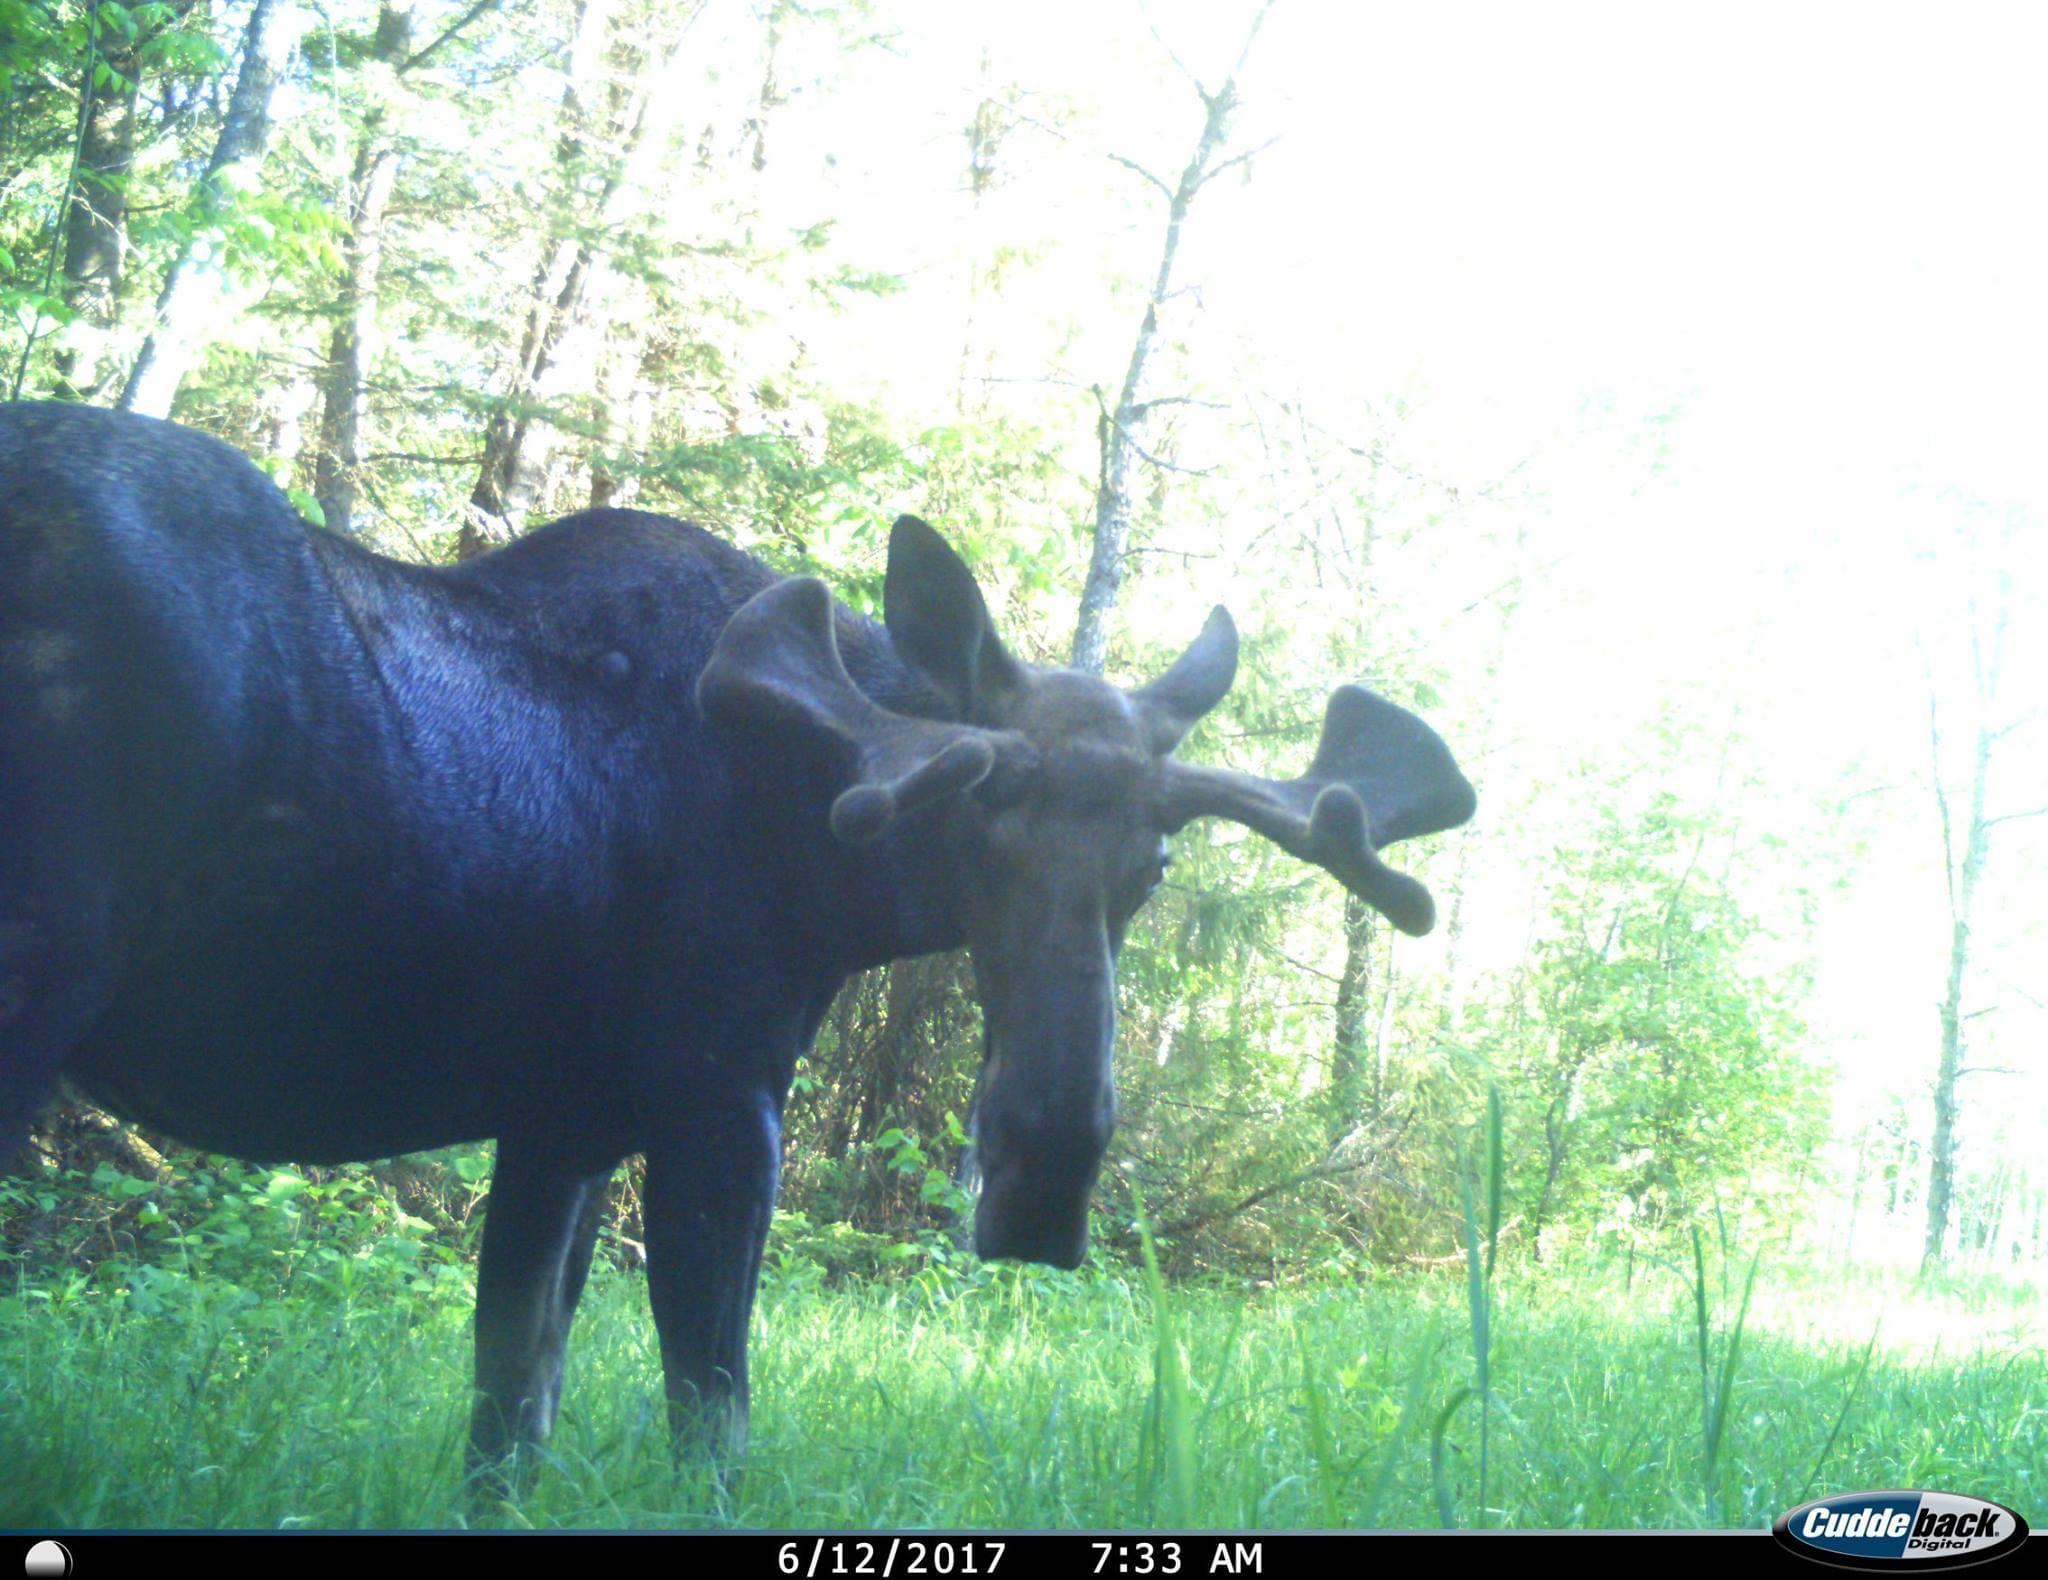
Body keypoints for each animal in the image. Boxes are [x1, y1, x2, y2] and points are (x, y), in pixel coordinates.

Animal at [0, 400, 1474, 1475]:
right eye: (979, 824)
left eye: (1152, 869)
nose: (1044, 1177)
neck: (834, 876)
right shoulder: (720, 1091)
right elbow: (710, 1421)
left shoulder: (562, 1118)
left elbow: (511, 1415)